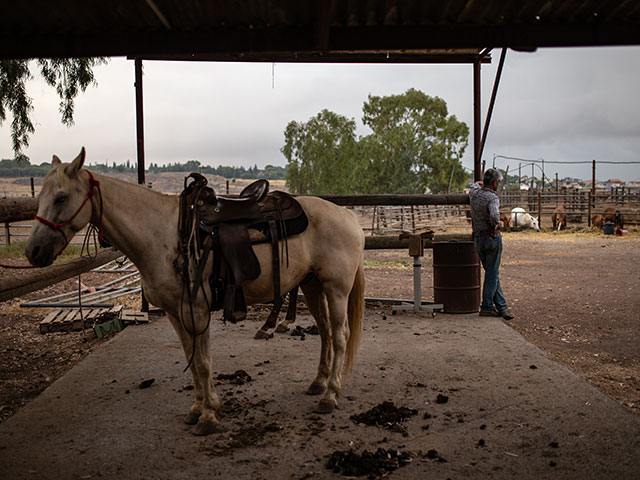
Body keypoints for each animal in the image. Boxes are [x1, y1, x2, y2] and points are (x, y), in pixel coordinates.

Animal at [25, 148, 364, 436]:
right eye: (41, 197)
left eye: (61, 198)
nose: (33, 251)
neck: (161, 235)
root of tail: (349, 216)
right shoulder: (176, 312)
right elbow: (192, 358)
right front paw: (197, 409)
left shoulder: (197, 310)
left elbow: (202, 361)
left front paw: (210, 415)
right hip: (312, 285)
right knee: (326, 333)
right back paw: (318, 384)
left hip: (336, 289)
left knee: (340, 335)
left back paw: (330, 396)